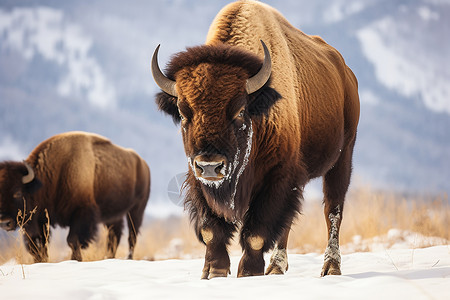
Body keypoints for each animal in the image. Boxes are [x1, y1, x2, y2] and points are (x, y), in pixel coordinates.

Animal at [0, 132, 151, 262]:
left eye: (18, 192)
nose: (4, 222)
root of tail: (143, 164)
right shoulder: (40, 220)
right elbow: (39, 245)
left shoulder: (81, 213)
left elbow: (73, 240)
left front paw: (75, 260)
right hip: (114, 216)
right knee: (114, 237)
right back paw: (109, 257)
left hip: (136, 210)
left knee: (132, 236)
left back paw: (128, 258)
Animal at [151, 0, 358, 278]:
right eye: (184, 113)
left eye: (240, 111)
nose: (210, 166)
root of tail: (345, 72)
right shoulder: (197, 179)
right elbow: (211, 229)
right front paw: (213, 271)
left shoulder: (277, 176)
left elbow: (256, 233)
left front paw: (248, 273)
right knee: (289, 221)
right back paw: (276, 268)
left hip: (342, 157)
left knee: (333, 211)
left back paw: (331, 267)